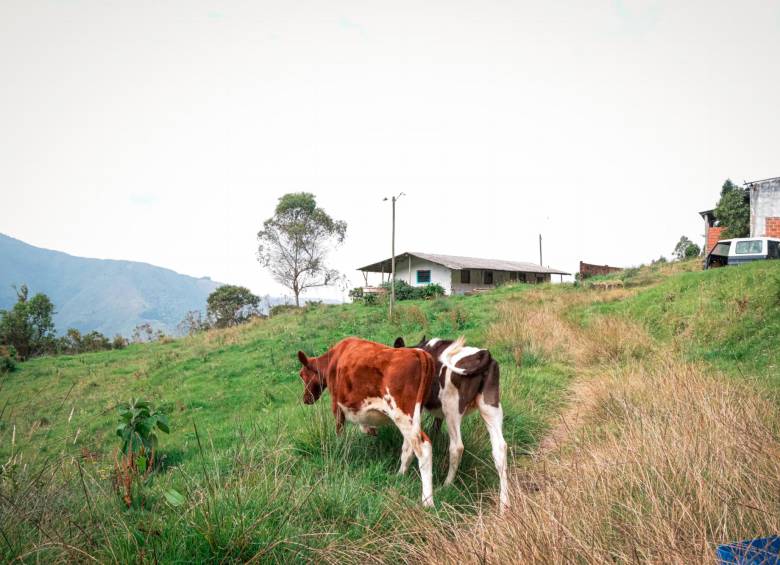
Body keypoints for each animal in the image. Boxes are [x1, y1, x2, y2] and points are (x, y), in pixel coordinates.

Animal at [298, 338, 436, 504]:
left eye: (302, 375)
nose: (306, 399)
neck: (334, 357)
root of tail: (418, 353)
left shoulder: (336, 406)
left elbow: (340, 433)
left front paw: (340, 449)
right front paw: (371, 430)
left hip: (402, 414)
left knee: (423, 447)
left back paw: (427, 501)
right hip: (413, 416)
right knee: (408, 447)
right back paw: (399, 475)